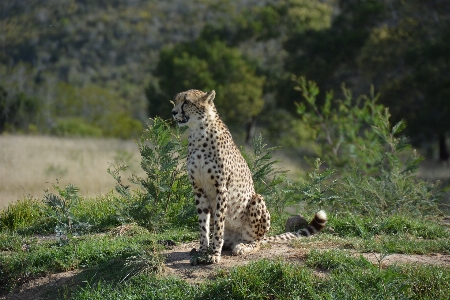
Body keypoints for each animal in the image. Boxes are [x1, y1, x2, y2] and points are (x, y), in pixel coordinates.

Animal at [170, 89, 326, 264]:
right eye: (177, 100)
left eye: (186, 102)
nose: (173, 112)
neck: (198, 132)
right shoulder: (198, 188)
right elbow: (204, 224)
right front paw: (203, 251)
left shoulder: (221, 188)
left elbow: (218, 223)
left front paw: (215, 254)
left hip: (256, 200)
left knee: (256, 241)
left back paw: (243, 247)